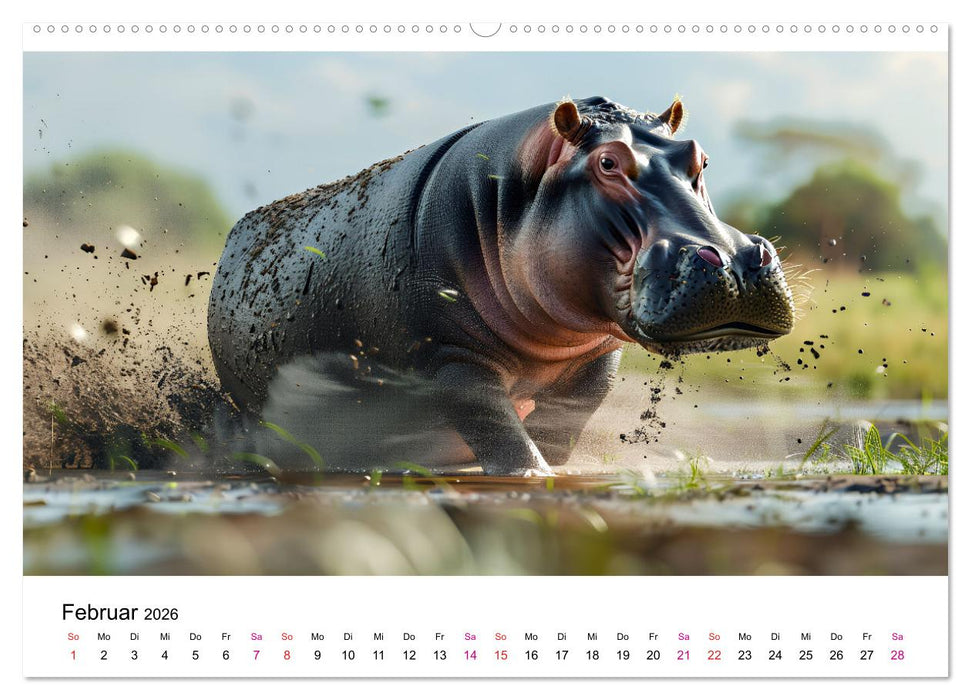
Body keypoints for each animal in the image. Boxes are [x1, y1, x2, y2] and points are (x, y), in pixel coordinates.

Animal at [208, 96, 794, 476]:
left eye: (700, 156)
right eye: (608, 162)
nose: (734, 262)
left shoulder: (595, 361)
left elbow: (560, 429)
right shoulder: (452, 357)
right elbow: (499, 431)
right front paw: (531, 478)